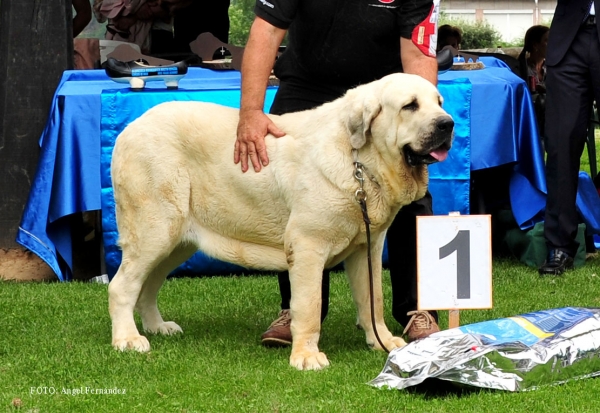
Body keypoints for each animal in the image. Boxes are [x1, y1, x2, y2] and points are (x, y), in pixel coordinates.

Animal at [109, 73, 454, 370]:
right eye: (410, 105)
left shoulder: (367, 247)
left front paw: (382, 341)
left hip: (176, 241)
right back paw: (128, 339)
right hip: (156, 229)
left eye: (439, 102)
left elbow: (373, 299)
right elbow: (310, 305)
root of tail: (130, 127)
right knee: (122, 286)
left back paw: (157, 327)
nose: (448, 124)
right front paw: (307, 356)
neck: (359, 161)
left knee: (148, 284)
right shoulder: (308, 245)